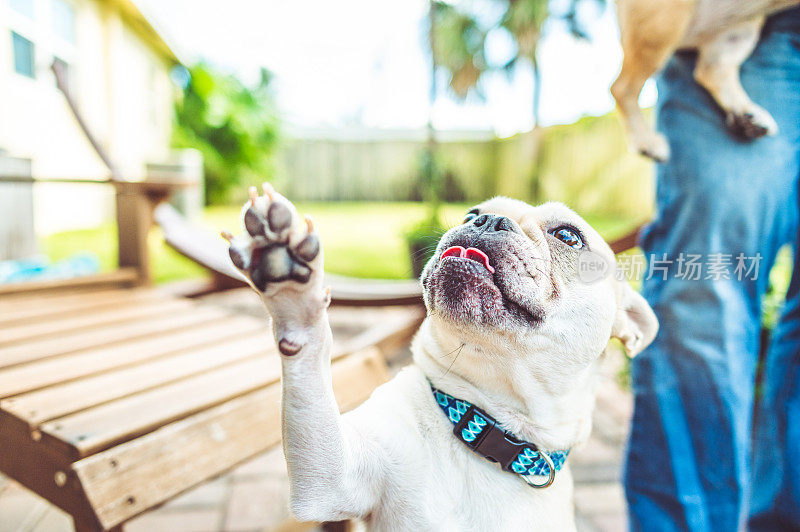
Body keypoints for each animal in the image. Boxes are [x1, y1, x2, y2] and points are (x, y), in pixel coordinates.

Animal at [223, 186, 656, 528]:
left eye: (568, 236)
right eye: (470, 213)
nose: (487, 220)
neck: (490, 426)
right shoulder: (331, 479)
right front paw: (291, 286)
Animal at [608, 0, 796, 161]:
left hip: (740, 25)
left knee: (711, 71)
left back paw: (747, 115)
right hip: (663, 20)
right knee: (621, 87)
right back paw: (646, 142)